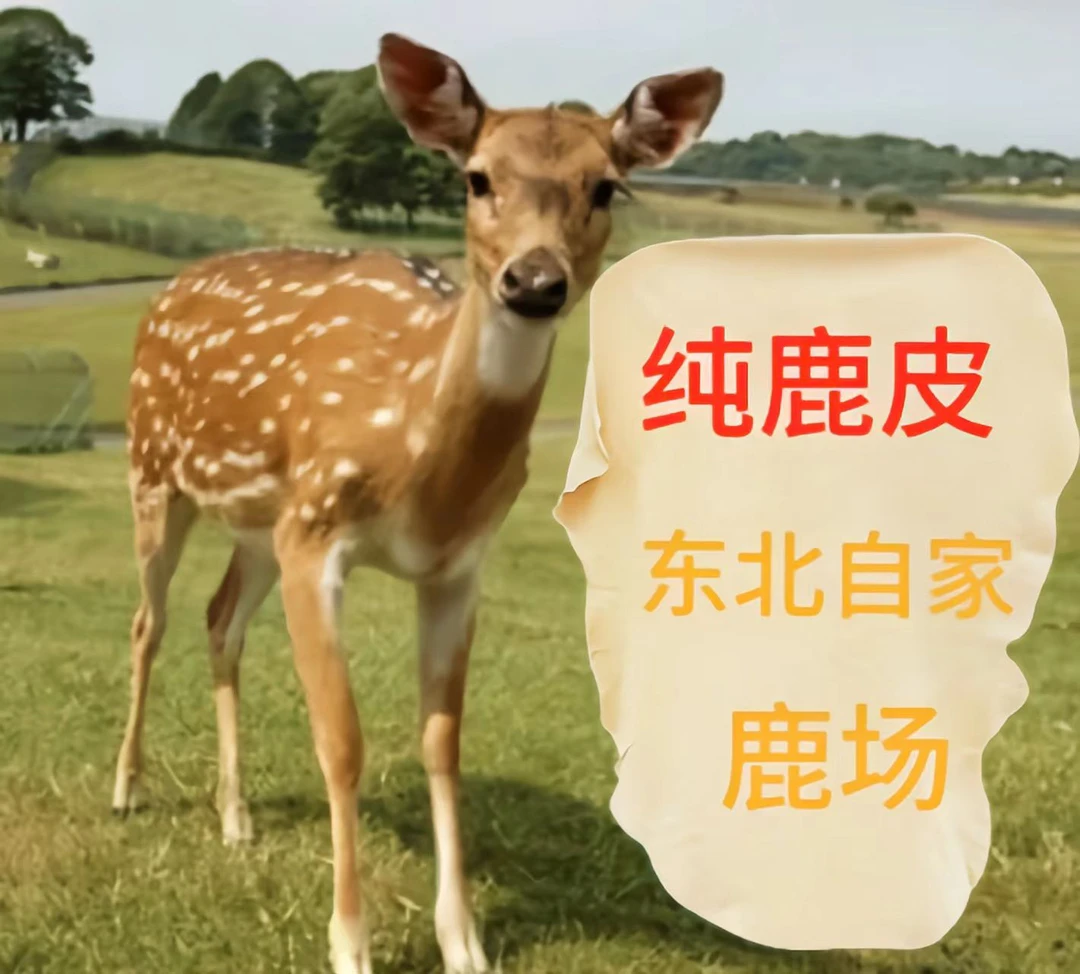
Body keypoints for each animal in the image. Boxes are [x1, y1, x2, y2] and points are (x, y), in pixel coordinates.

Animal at [112, 32, 723, 974]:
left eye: (605, 186)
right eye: (475, 177)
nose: (533, 281)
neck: (420, 472)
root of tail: (167, 291)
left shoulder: (455, 566)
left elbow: (442, 742)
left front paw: (464, 939)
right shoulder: (318, 532)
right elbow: (342, 740)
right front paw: (350, 943)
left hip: (258, 524)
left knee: (220, 618)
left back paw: (237, 818)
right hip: (155, 469)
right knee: (151, 619)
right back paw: (128, 789)